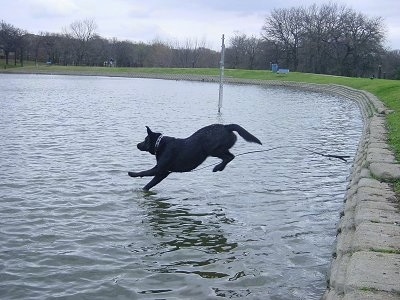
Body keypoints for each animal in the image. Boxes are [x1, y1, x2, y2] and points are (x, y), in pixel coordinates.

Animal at [126, 123, 260, 190]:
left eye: (145, 139)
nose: (137, 145)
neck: (160, 144)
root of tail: (226, 126)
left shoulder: (160, 169)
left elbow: (144, 172)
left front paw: (132, 174)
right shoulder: (163, 173)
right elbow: (149, 184)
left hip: (212, 149)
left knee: (229, 157)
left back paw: (217, 168)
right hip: (220, 148)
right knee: (231, 156)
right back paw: (219, 167)